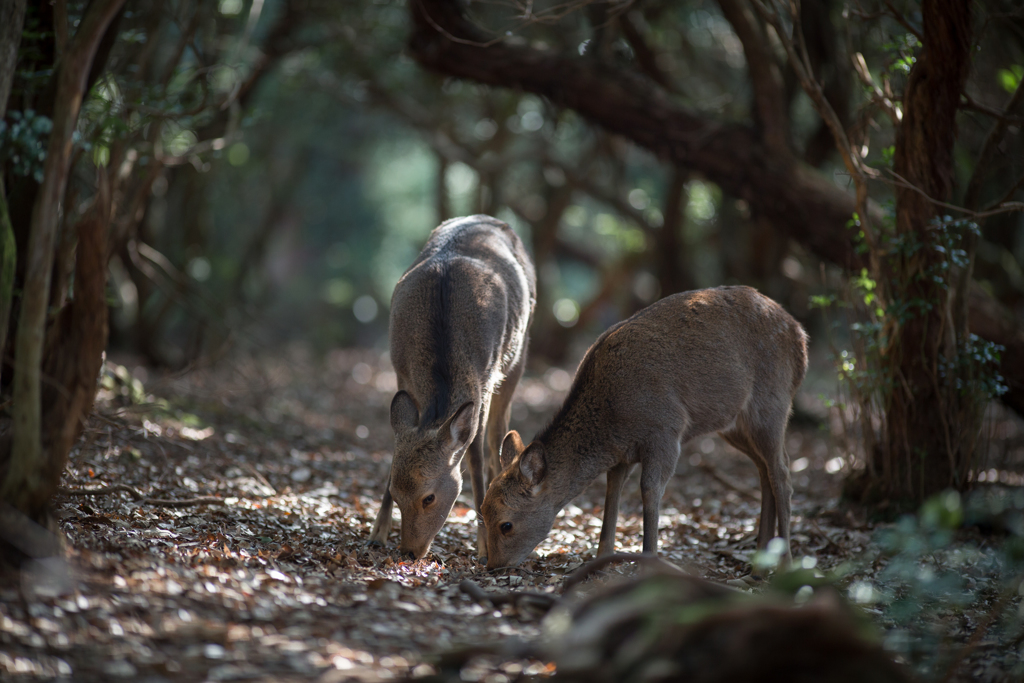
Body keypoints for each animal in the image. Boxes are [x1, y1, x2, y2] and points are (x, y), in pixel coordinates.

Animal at [372, 216, 540, 565]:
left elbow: (474, 457)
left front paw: (483, 546)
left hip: (518, 355)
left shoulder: (484, 381)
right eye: (395, 492)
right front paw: (376, 534)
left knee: (496, 440)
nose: (409, 551)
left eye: (429, 497)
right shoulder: (400, 373)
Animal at [479, 286, 806, 573]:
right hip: (734, 424)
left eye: (506, 524)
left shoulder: (666, 432)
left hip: (771, 404)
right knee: (764, 471)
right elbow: (612, 495)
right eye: (482, 511)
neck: (611, 422)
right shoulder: (622, 454)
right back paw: (760, 562)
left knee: (783, 473)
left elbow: (649, 492)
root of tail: (800, 337)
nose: (494, 566)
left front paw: (647, 564)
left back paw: (785, 563)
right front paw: (601, 561)